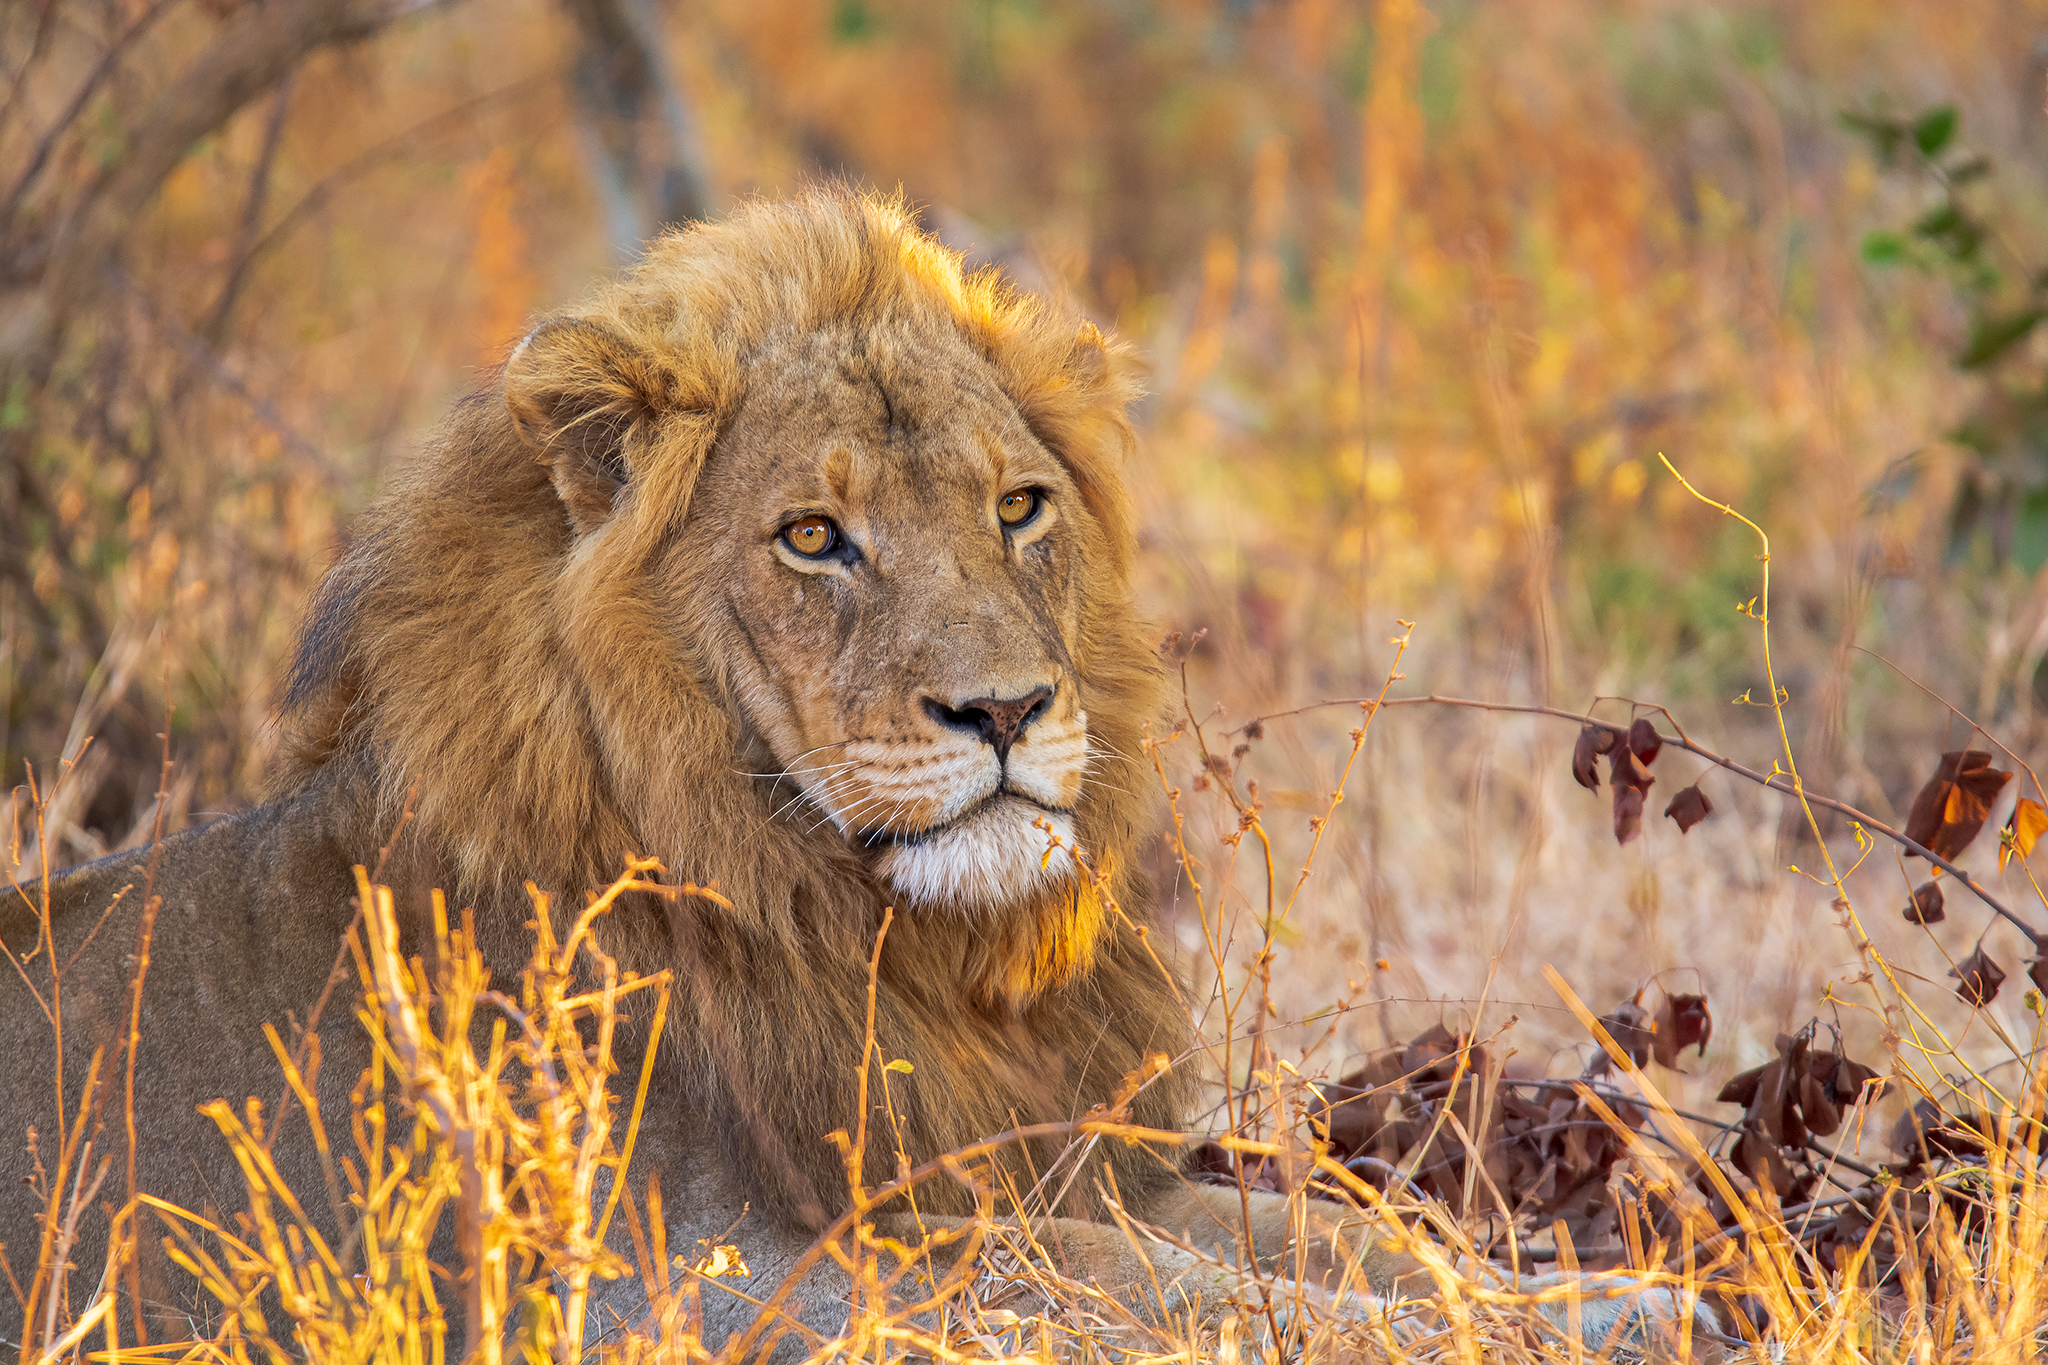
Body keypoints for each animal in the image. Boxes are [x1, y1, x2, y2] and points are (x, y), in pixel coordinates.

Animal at [4, 188, 1702, 1354]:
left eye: (1019, 506)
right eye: (813, 537)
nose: (1007, 709)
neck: (881, 939)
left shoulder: (1059, 1154)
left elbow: (1344, 1236)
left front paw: (1616, 1297)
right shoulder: (708, 1275)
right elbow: (1126, 1283)